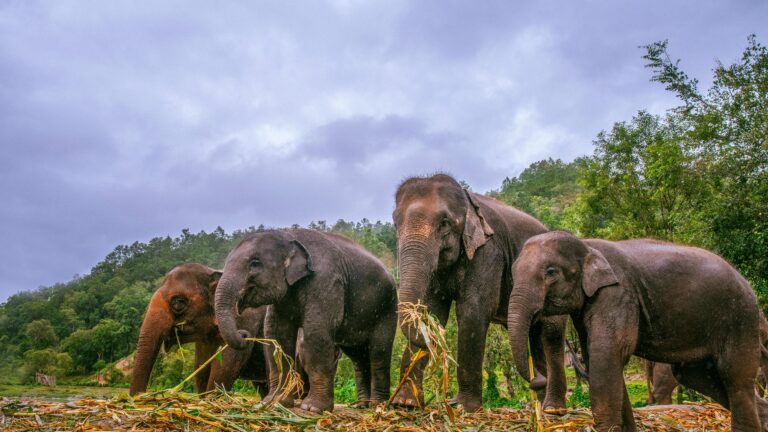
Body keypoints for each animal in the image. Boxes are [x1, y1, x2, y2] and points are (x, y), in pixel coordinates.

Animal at [214, 229, 397, 413]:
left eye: (255, 263)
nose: (243, 334)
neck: (289, 235)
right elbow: (277, 334)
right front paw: (272, 403)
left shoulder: (325, 281)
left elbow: (316, 332)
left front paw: (312, 408)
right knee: (358, 357)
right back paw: (362, 405)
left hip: (387, 307)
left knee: (379, 351)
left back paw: (377, 405)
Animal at [392, 173, 567, 412]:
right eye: (395, 223)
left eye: (444, 223)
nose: (438, 335)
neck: (467, 200)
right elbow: (434, 309)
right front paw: (405, 404)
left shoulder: (489, 251)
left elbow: (473, 311)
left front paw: (464, 407)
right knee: (536, 336)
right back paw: (540, 405)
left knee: (551, 334)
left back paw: (553, 409)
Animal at [508, 230, 768, 432]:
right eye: (512, 271)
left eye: (551, 272)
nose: (537, 381)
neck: (587, 245)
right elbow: (598, 359)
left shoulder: (618, 295)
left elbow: (606, 356)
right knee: (696, 375)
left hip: (739, 317)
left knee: (735, 377)